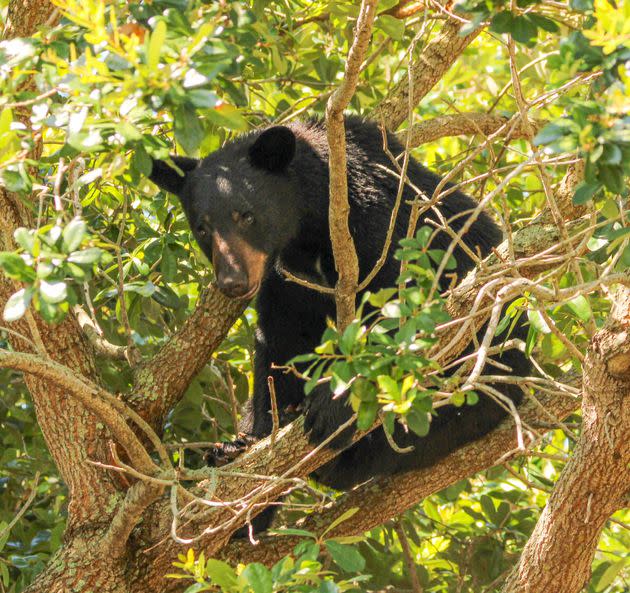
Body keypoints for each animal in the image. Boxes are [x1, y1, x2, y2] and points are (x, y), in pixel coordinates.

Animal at [151, 117, 532, 494]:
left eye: (246, 215)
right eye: (202, 227)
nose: (233, 282)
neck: (311, 229)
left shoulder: (385, 228)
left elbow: (405, 313)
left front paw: (332, 406)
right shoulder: (285, 276)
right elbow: (280, 341)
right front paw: (251, 436)